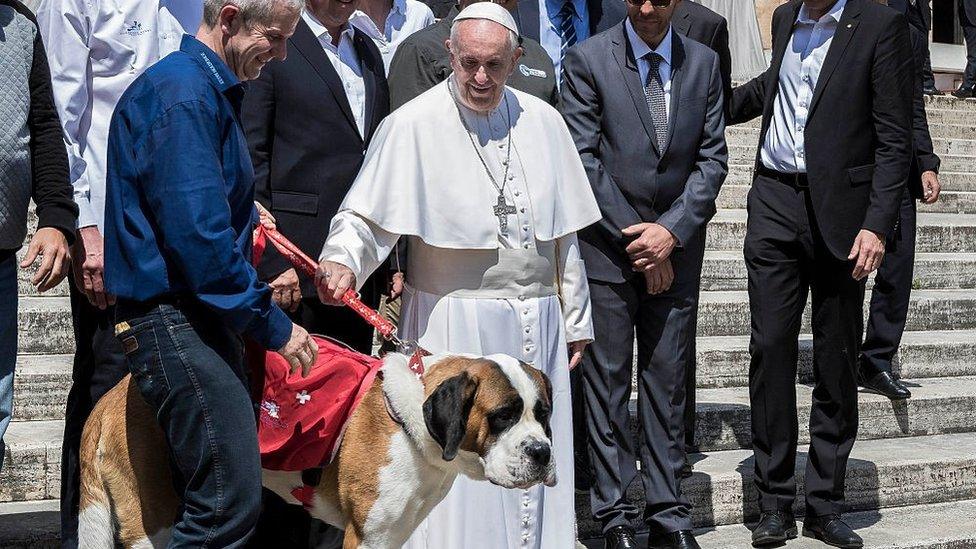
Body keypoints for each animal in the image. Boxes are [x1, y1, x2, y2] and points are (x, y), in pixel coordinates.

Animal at [78, 352, 556, 548]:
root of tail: (109, 398)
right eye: (503, 416)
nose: (543, 453)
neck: (413, 426)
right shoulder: (368, 536)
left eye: (544, 413)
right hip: (152, 520)